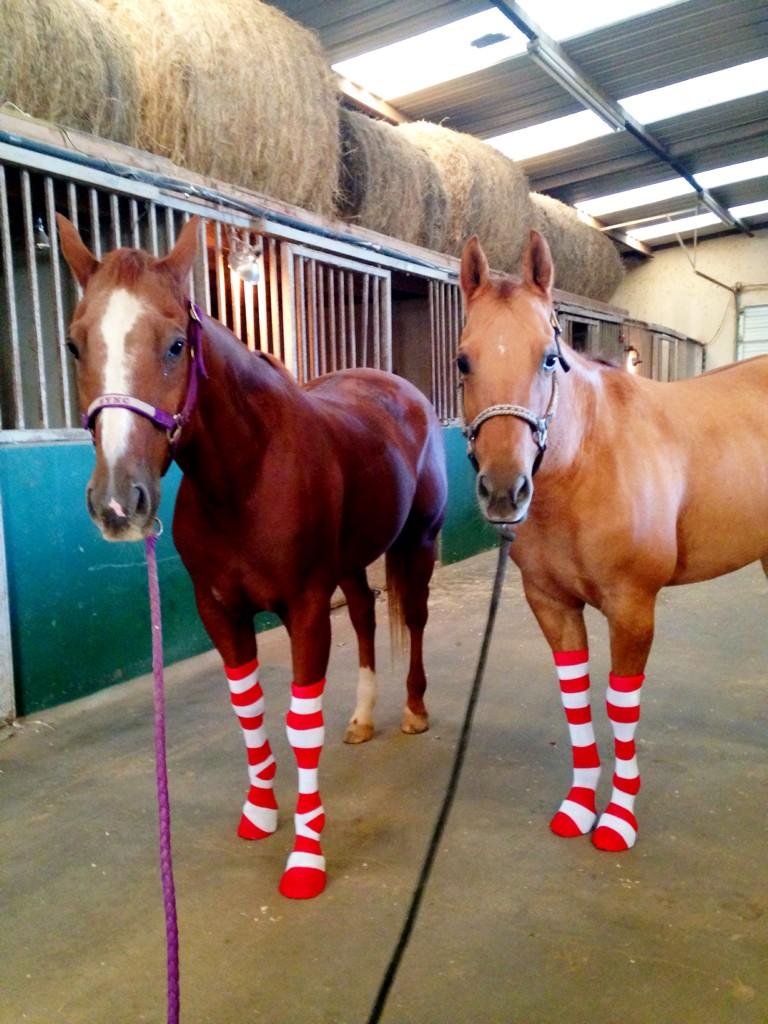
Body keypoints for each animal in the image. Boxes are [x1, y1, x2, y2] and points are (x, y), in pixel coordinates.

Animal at [56, 213, 447, 899]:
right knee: (366, 616)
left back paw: (413, 711)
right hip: (351, 563)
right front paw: (261, 815)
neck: (248, 475)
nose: (119, 502)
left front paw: (307, 858)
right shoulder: (221, 611)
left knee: (416, 619)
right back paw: (363, 717)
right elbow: (250, 711)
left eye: (175, 345)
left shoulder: (306, 608)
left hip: (418, 541)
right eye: (76, 345)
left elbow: (300, 723)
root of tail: (400, 389)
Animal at [457, 229, 768, 853]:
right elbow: (576, 698)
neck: (589, 460)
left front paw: (619, 818)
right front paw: (580, 806)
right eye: (463, 360)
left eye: (549, 357)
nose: (504, 491)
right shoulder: (551, 603)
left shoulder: (632, 608)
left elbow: (621, 703)